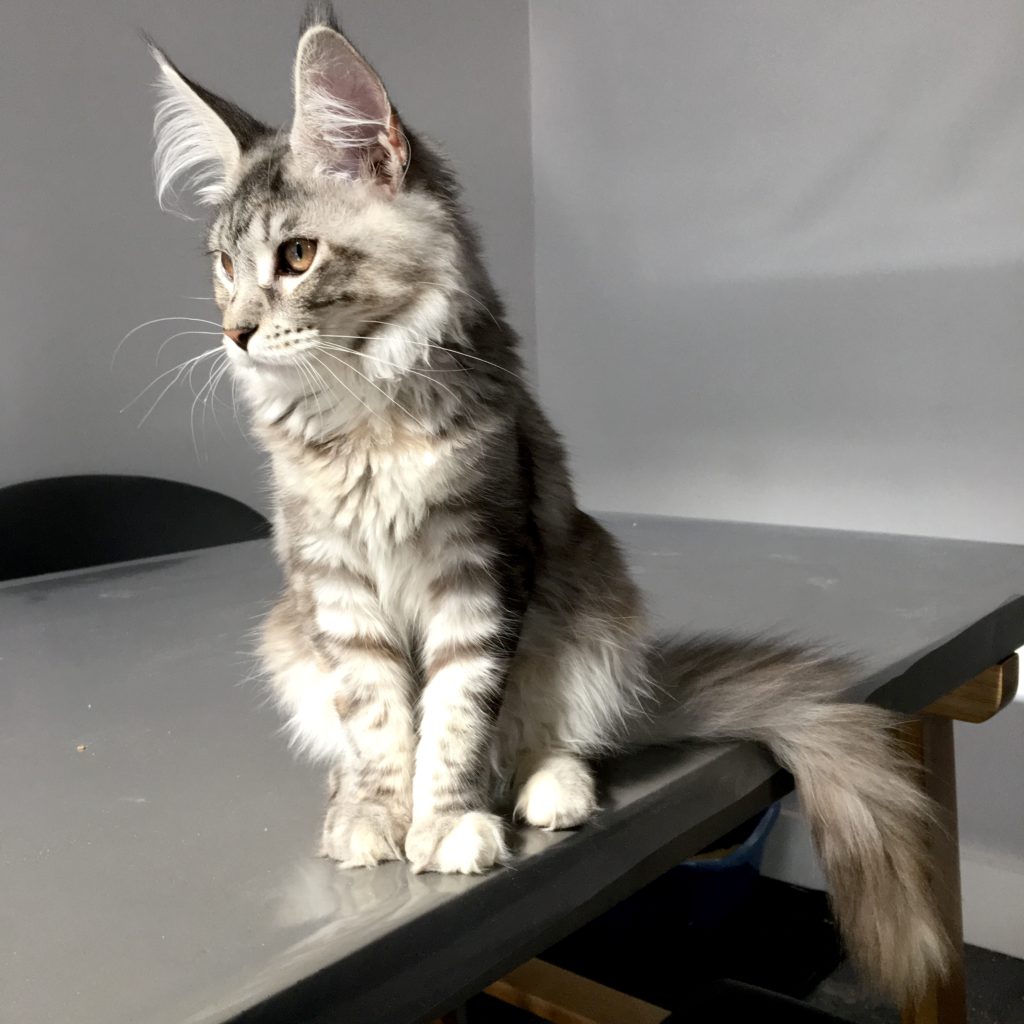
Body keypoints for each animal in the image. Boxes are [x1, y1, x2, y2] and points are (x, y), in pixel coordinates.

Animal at [149, 4, 950, 1003]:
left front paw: (446, 821)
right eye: (224, 265)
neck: (364, 414)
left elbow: (455, 717)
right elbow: (380, 720)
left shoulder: (485, 564)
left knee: (552, 734)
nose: (236, 333)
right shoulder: (333, 585)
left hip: (594, 605)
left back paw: (547, 791)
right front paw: (380, 814)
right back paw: (351, 799)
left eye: (296, 256)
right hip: (290, 640)